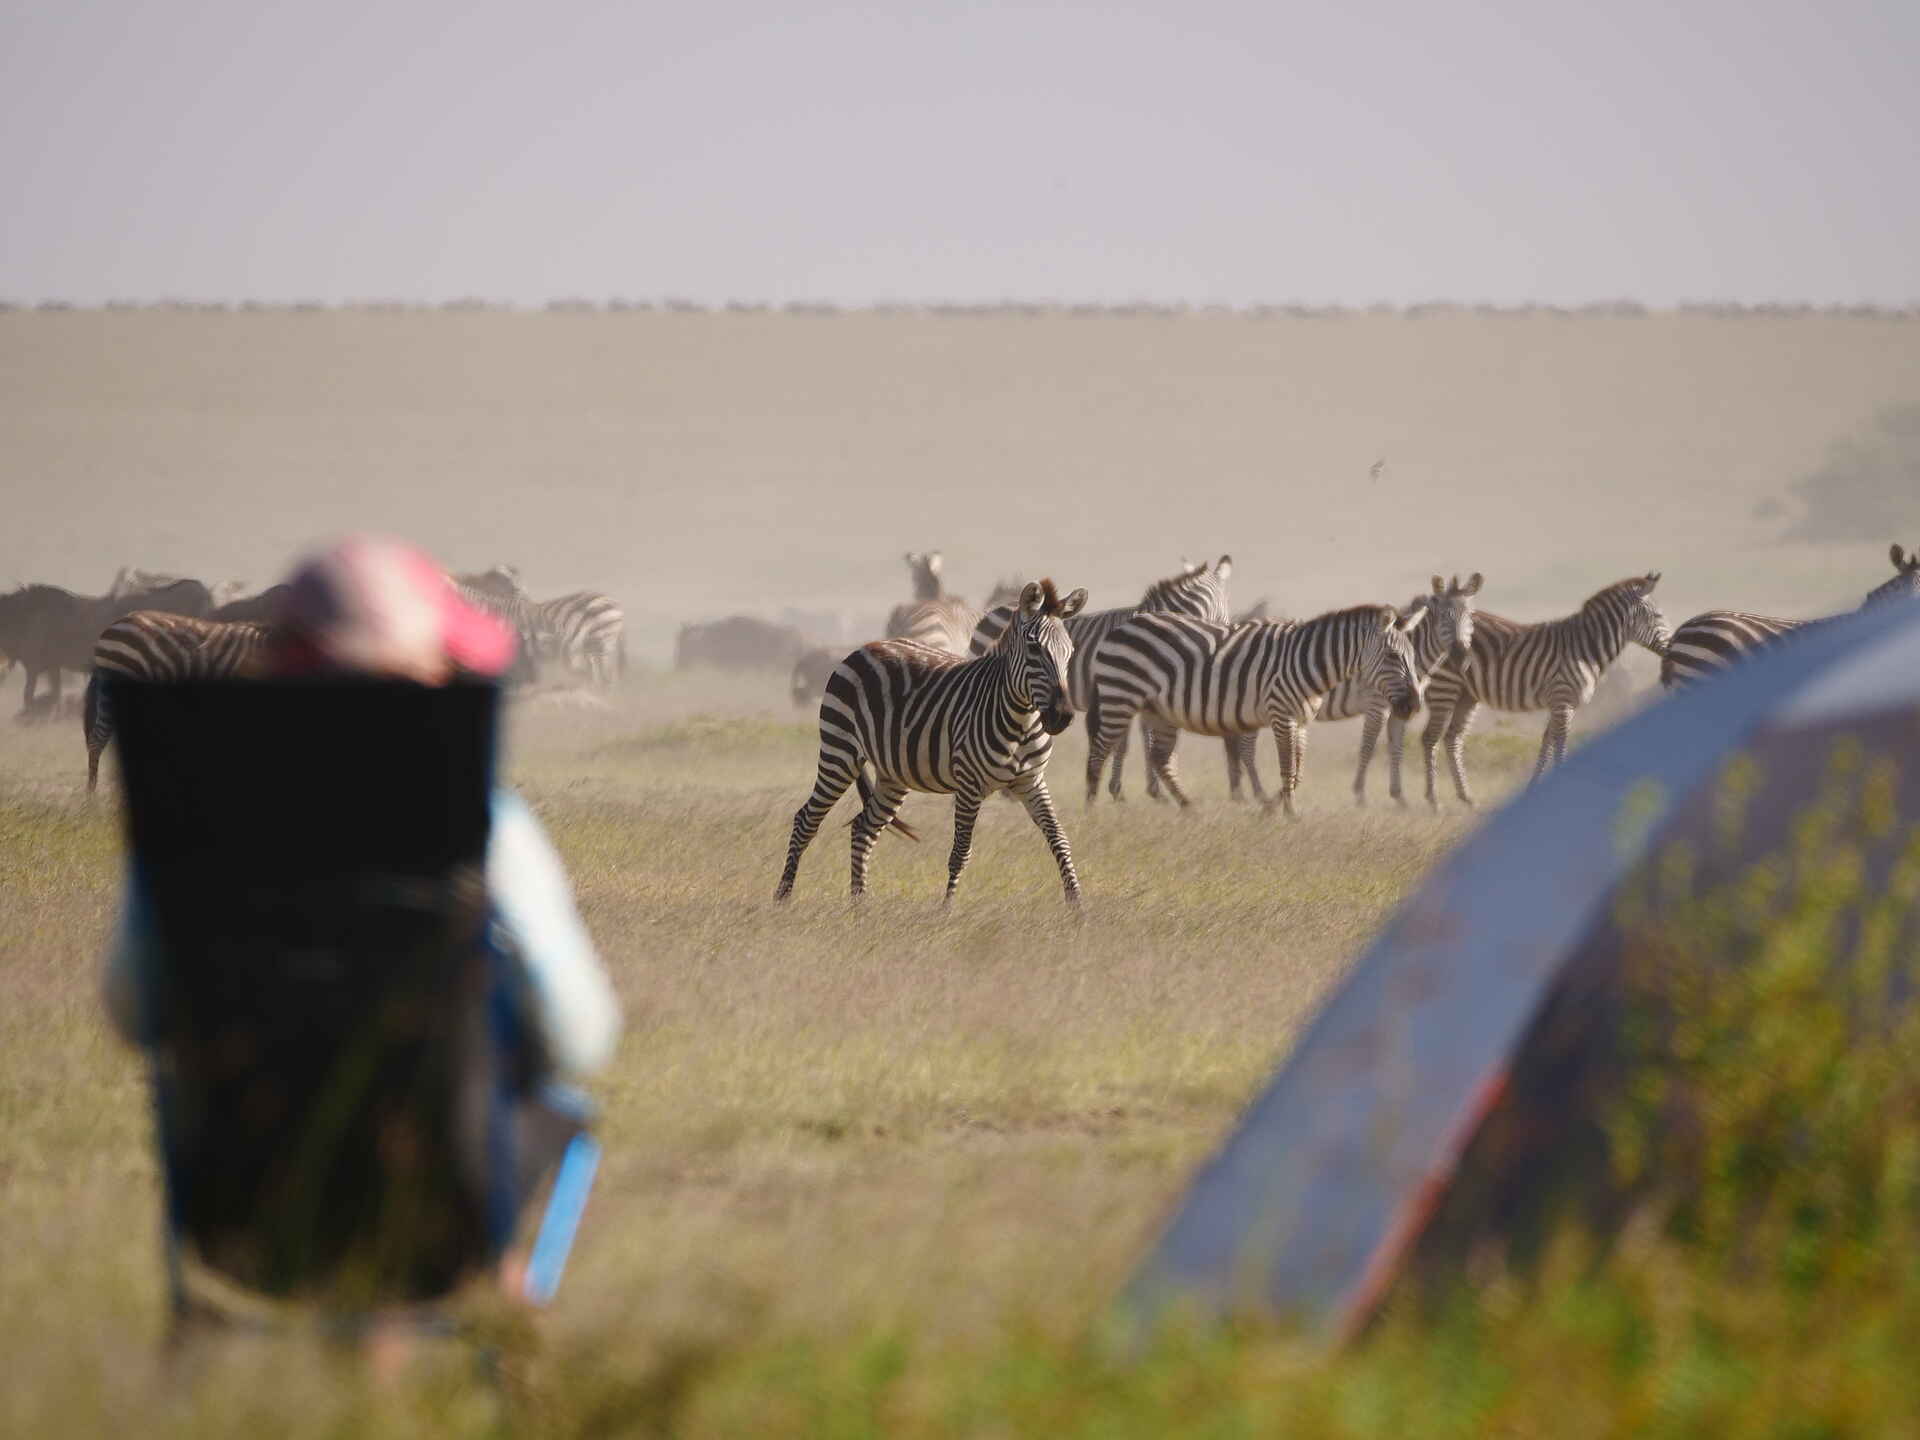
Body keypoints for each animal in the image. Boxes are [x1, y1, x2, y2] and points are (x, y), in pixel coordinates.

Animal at [776, 579, 1089, 905]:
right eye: (1034, 649)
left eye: (1070, 652)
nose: (1062, 716)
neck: (1021, 722)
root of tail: (866, 647)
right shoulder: (969, 785)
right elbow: (961, 852)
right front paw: (947, 908)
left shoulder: (1032, 781)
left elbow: (1059, 839)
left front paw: (1077, 905)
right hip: (839, 752)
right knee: (806, 820)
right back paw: (784, 898)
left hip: (893, 774)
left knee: (863, 829)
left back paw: (859, 903)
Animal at [972, 556, 1235, 800]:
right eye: (1222, 613)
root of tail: (993, 611)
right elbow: (1132, 742)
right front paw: (1132, 791)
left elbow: (1139, 740)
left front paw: (1146, 791)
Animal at [1088, 604, 1427, 817]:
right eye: (1393, 655)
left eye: (1412, 655)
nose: (1413, 705)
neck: (1308, 663)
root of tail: (1122, 625)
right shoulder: (1282, 714)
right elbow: (1287, 767)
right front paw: (1290, 813)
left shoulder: (1302, 720)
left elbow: (1299, 771)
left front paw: (1273, 806)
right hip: (1120, 696)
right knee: (1099, 751)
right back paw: (1091, 807)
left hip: (1159, 709)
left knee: (1160, 758)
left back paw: (1188, 807)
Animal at [1223, 574, 1483, 806]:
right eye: (1444, 617)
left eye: (1470, 616)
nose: (1461, 657)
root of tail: (1243, 617)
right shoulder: (1378, 704)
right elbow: (1368, 747)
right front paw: (1360, 795)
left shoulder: (1399, 707)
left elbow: (1396, 748)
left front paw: (1399, 798)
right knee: (1246, 747)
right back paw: (1259, 795)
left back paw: (1242, 793)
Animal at [1419, 573, 1670, 807]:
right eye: (1658, 616)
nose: (1672, 651)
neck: (1585, 650)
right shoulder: (1562, 699)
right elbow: (1560, 745)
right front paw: (1561, 793)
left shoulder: (1563, 703)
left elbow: (1547, 744)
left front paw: (1534, 790)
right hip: (1445, 687)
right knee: (1430, 738)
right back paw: (1434, 801)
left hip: (1467, 695)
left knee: (1452, 738)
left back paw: (1467, 797)